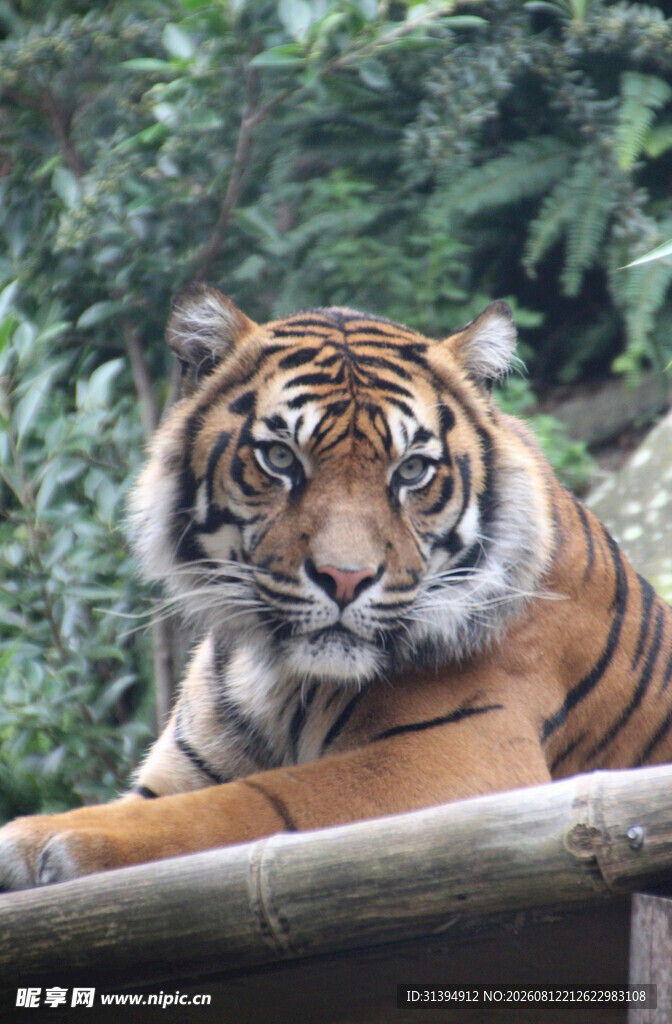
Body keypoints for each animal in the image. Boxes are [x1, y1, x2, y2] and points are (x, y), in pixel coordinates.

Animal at [1, 285, 671, 891]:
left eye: (412, 470)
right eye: (279, 459)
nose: (345, 578)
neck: (279, 676)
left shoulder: (457, 755)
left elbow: (256, 799)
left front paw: (59, 838)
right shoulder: (175, 772)